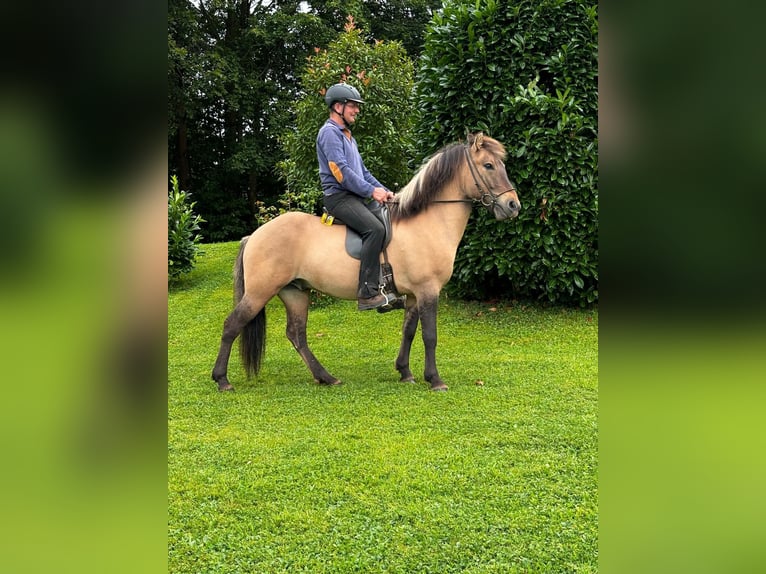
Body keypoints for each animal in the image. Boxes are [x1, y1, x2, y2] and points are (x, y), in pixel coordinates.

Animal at [213, 133, 520, 394]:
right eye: (489, 165)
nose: (513, 206)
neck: (426, 222)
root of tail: (255, 235)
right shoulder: (428, 290)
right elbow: (429, 335)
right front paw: (435, 380)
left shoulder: (413, 295)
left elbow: (409, 331)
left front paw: (405, 372)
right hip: (260, 292)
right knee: (232, 325)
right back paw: (222, 380)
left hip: (295, 292)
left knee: (297, 335)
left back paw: (326, 377)